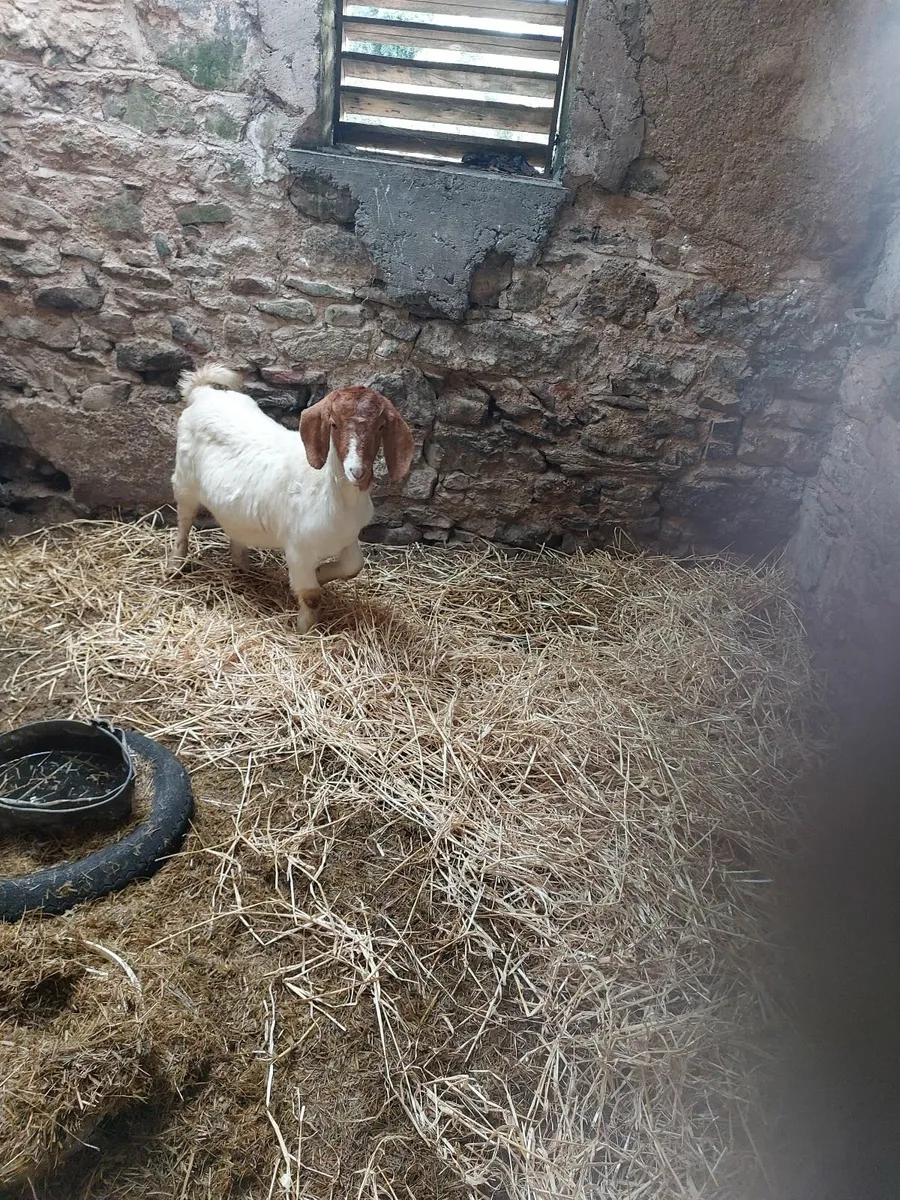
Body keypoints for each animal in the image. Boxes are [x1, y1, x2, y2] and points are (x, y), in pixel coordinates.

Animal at [171, 363, 415, 632]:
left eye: (380, 426)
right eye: (333, 424)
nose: (357, 471)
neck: (333, 493)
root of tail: (202, 393)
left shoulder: (347, 538)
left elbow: (354, 566)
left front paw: (320, 575)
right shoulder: (298, 549)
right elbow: (311, 595)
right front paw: (304, 629)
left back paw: (244, 566)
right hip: (184, 481)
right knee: (184, 520)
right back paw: (176, 564)